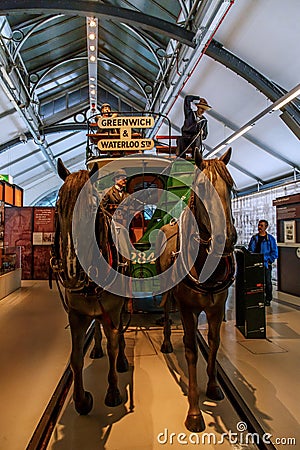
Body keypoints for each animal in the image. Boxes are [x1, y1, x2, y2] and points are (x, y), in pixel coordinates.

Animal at [52, 158, 127, 414]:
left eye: (93, 207)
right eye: (59, 208)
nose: (72, 272)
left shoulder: (113, 310)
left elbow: (114, 345)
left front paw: (113, 391)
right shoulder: (76, 314)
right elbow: (75, 358)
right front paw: (81, 400)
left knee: (118, 332)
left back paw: (122, 360)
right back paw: (95, 348)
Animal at [157, 148, 237, 432]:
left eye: (232, 187)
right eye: (201, 187)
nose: (228, 238)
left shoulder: (216, 308)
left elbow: (213, 344)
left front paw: (213, 386)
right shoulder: (187, 308)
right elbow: (192, 352)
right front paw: (194, 411)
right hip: (169, 294)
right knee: (166, 314)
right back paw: (167, 342)